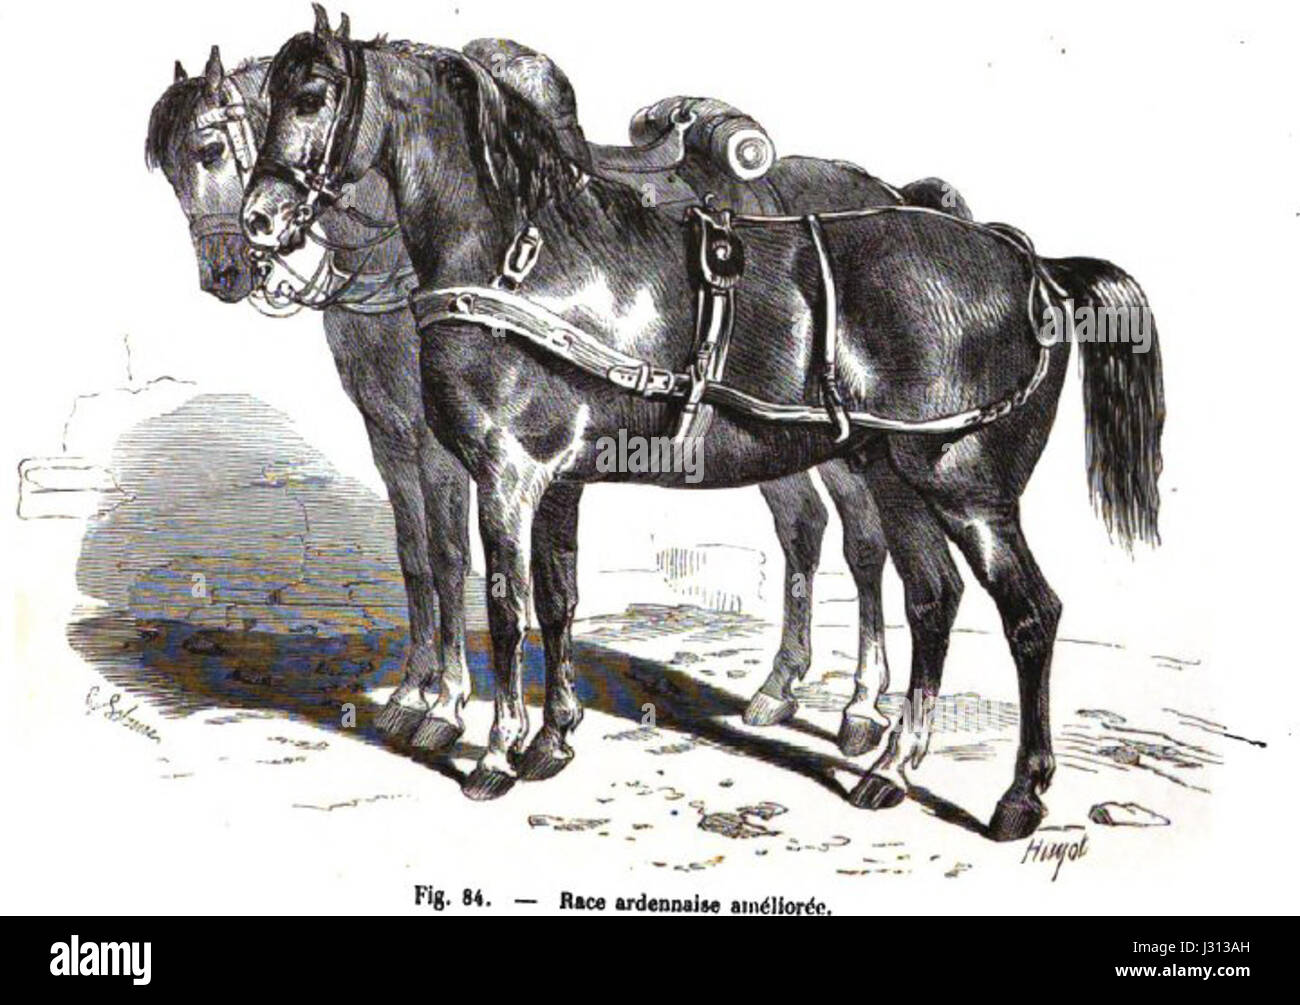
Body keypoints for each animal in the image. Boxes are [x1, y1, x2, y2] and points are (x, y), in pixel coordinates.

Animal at [149, 28, 984, 764]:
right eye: (171, 169)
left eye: (211, 149)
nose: (232, 263)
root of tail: (895, 192)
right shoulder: (394, 437)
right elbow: (420, 558)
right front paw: (424, 694)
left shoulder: (458, 449)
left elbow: (457, 562)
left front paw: (448, 706)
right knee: (806, 529)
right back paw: (783, 688)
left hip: (846, 442)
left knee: (865, 544)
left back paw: (862, 706)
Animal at [242, 12, 1163, 840]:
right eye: (268, 101)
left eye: (313, 95)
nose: (259, 219)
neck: (520, 256)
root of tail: (1032, 267)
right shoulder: (557, 480)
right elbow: (556, 598)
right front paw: (551, 742)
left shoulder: (507, 476)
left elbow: (505, 604)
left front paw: (498, 753)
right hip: (894, 478)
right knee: (932, 598)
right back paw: (891, 766)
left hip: (966, 491)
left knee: (1029, 615)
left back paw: (1018, 795)